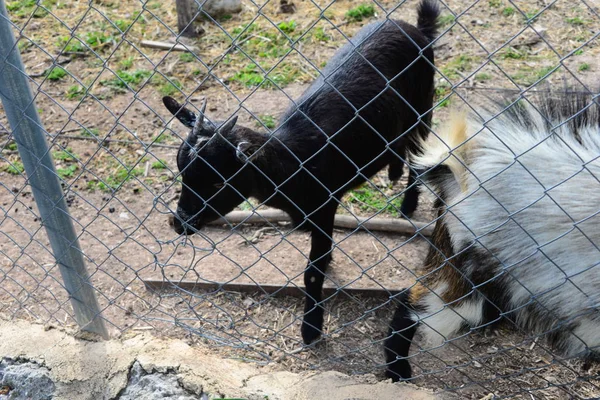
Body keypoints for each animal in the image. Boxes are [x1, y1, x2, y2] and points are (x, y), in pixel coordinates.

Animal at [162, 0, 438, 344]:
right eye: (182, 175)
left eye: (216, 182)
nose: (179, 223)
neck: (295, 162)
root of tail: (417, 28)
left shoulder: (324, 206)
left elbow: (312, 273)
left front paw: (311, 328)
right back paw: (393, 171)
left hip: (423, 108)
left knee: (419, 151)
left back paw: (408, 205)